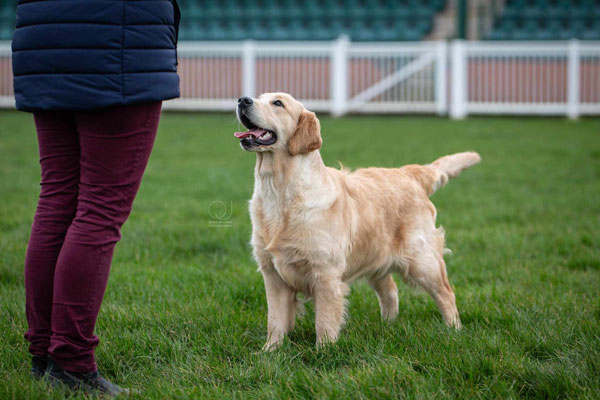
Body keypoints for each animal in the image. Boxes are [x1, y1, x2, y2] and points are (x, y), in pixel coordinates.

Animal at [232, 94, 480, 350]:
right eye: (259, 97)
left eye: (278, 103)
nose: (243, 100)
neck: (278, 192)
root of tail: (409, 173)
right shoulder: (272, 274)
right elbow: (275, 320)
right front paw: (270, 351)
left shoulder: (325, 273)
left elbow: (324, 320)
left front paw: (324, 350)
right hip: (377, 257)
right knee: (390, 291)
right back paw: (387, 325)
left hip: (422, 261)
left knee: (446, 293)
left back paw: (453, 330)